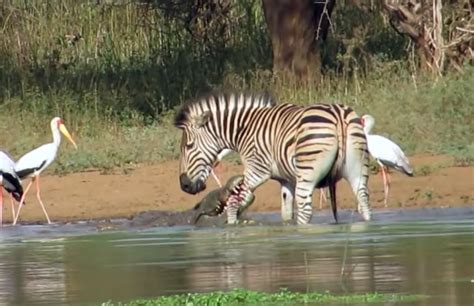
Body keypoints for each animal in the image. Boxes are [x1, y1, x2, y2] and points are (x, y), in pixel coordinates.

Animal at [174, 91, 370, 225]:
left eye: (189, 146)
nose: (184, 185)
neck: (244, 129)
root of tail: (337, 115)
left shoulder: (257, 170)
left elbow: (233, 205)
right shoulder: (286, 180)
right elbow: (286, 213)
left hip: (307, 175)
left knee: (305, 211)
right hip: (358, 171)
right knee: (364, 201)